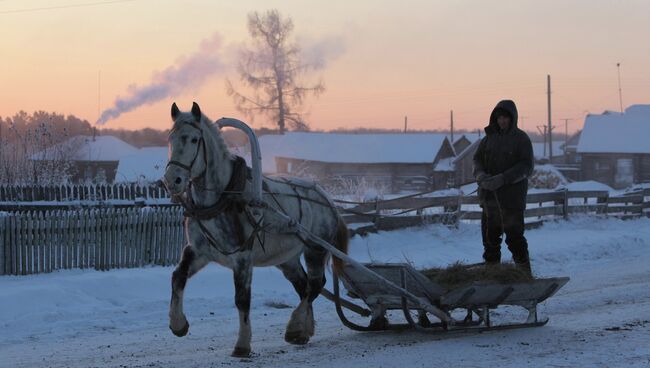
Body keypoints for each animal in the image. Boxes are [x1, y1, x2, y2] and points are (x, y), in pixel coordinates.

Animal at [162, 102, 350, 358]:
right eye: (170, 138)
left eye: (193, 139)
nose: (172, 180)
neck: (223, 198)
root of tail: (327, 198)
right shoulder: (198, 251)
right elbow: (177, 276)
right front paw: (178, 324)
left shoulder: (243, 257)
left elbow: (242, 299)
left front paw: (242, 344)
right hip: (287, 259)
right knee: (303, 286)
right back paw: (304, 330)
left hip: (316, 249)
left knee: (315, 285)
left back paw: (295, 327)